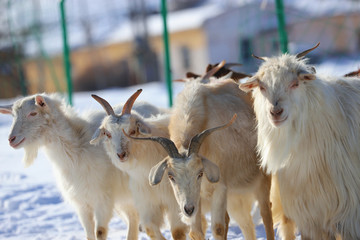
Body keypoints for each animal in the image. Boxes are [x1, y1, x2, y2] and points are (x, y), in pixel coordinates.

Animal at [0, 94, 159, 240]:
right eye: (13, 116)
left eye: (33, 113)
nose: (11, 139)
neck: (77, 149)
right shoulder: (82, 203)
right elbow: (89, 234)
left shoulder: (102, 198)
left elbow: (100, 232)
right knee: (132, 217)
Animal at [90, 90, 188, 240]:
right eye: (107, 133)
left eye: (132, 131)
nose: (121, 154)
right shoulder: (147, 202)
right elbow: (150, 229)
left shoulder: (175, 201)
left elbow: (178, 231)